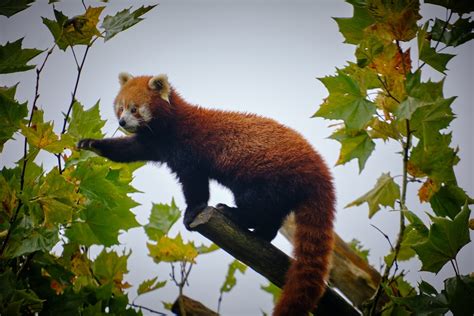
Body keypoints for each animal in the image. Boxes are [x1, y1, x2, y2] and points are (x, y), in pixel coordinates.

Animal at [78, 73, 336, 314]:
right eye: (120, 107)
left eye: (134, 108)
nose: (122, 121)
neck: (169, 128)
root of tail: (319, 170)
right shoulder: (153, 144)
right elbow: (127, 151)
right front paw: (91, 144)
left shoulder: (188, 152)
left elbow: (196, 186)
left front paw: (192, 212)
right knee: (273, 215)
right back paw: (262, 233)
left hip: (267, 176)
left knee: (256, 204)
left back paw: (234, 214)